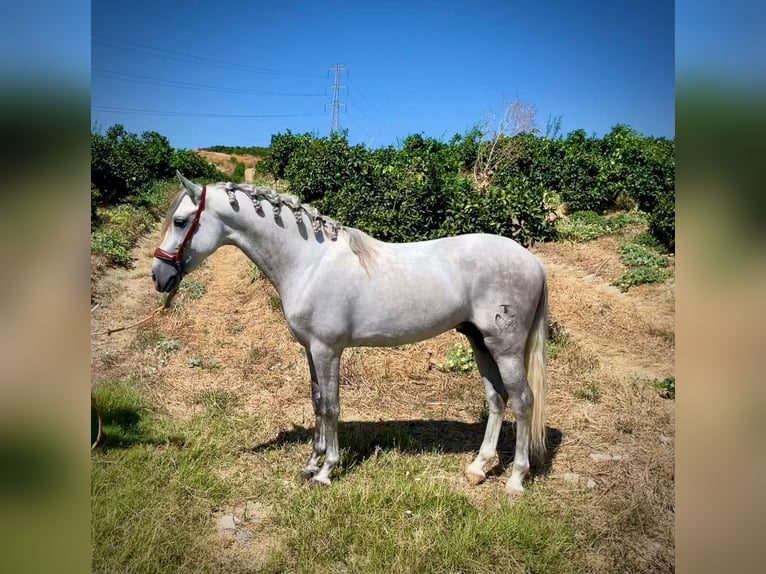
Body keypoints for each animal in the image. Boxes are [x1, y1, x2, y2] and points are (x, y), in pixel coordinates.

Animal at [153, 172, 548, 496]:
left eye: (180, 221)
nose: (159, 277)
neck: (310, 262)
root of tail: (533, 262)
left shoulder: (327, 349)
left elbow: (330, 407)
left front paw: (326, 471)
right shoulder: (311, 349)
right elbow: (316, 402)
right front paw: (311, 463)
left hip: (505, 348)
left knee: (523, 401)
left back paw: (516, 479)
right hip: (479, 342)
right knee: (497, 399)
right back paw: (479, 467)